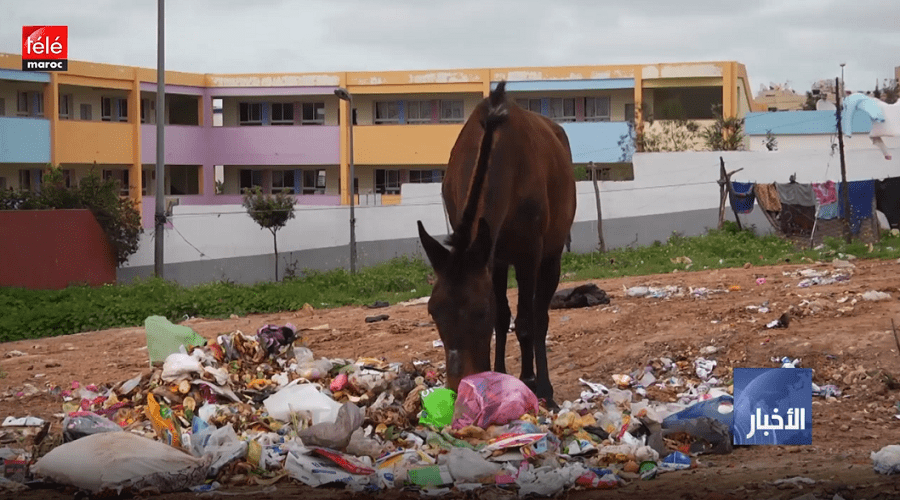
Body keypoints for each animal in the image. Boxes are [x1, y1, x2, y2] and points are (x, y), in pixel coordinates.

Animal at [416, 79, 576, 406]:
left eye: (479, 312)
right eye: (433, 310)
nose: (457, 385)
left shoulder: (529, 252)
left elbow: (526, 322)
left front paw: (530, 381)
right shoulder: (490, 253)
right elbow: (502, 317)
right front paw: (498, 376)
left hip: (550, 254)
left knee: (539, 317)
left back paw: (543, 387)